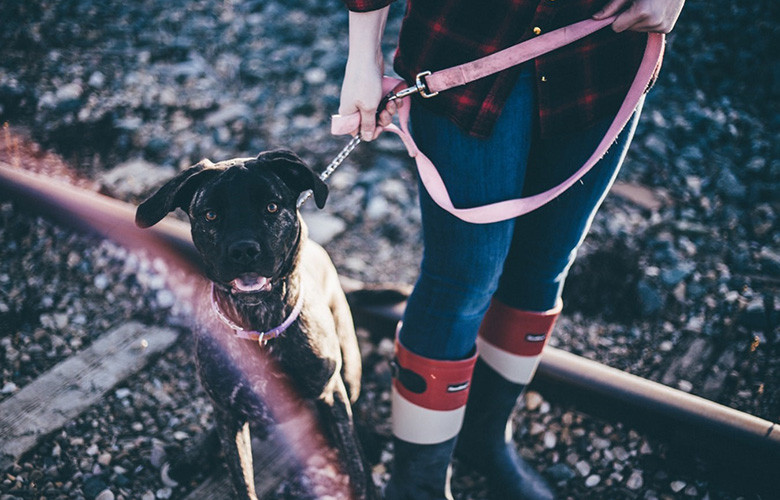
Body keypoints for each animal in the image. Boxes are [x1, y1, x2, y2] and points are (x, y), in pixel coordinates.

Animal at [135, 151, 378, 500]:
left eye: (272, 207)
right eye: (210, 215)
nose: (244, 250)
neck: (259, 325)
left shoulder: (331, 393)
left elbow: (354, 459)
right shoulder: (229, 415)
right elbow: (241, 479)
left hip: (348, 372)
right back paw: (190, 459)